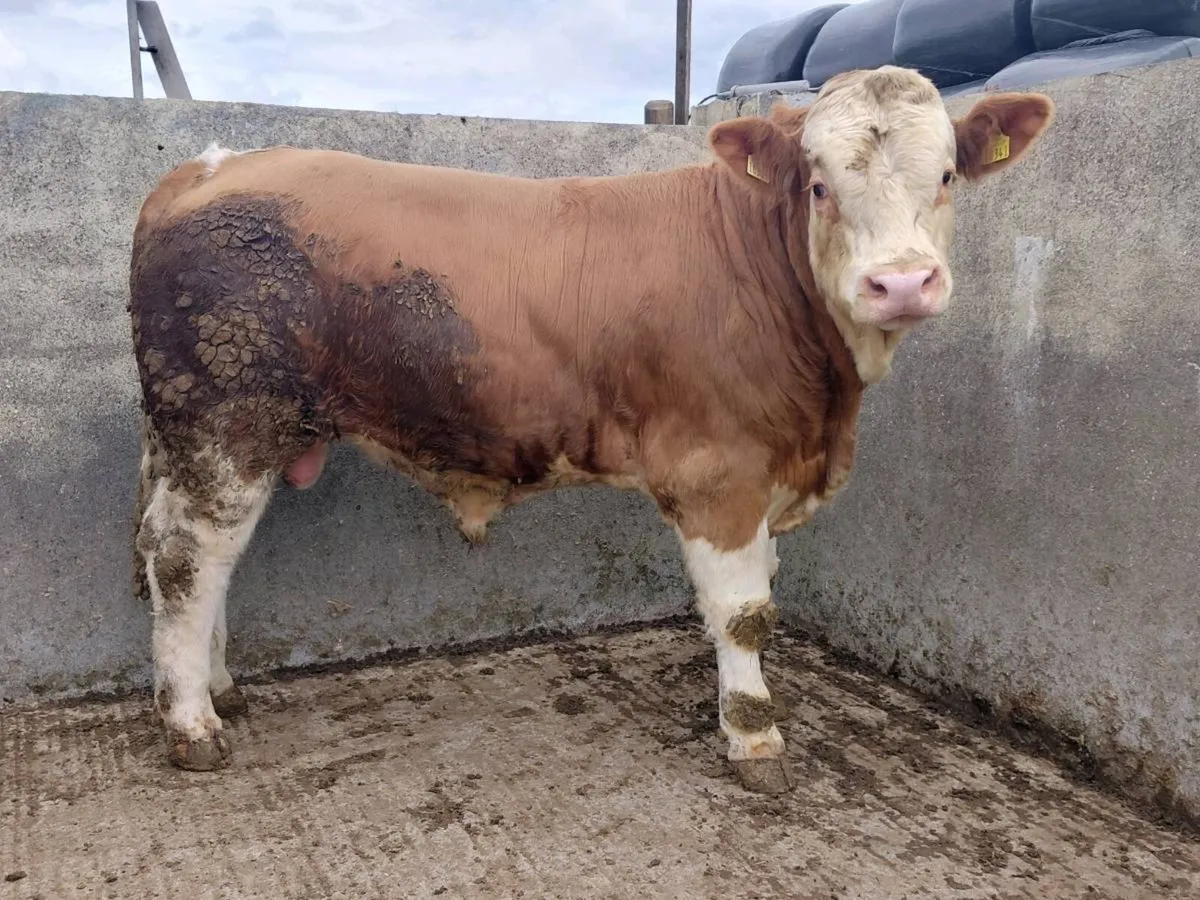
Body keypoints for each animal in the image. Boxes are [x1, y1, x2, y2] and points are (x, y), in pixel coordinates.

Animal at [129, 65, 1053, 794]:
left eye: (946, 175)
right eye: (819, 185)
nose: (901, 283)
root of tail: (211, 166)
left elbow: (757, 593)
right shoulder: (719, 472)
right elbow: (744, 611)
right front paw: (754, 736)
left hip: (208, 434)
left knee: (189, 557)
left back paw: (219, 688)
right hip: (225, 419)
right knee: (186, 561)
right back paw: (193, 725)